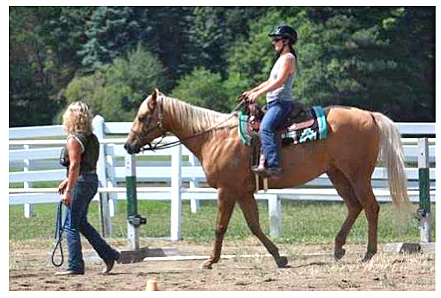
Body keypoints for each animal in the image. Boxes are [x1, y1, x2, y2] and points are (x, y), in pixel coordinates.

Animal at [124, 88, 410, 268]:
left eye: (143, 116)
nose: (128, 145)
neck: (214, 137)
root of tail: (369, 115)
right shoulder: (243, 192)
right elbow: (254, 225)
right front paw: (279, 257)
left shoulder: (226, 190)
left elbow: (220, 226)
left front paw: (210, 261)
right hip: (337, 174)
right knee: (354, 206)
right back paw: (339, 248)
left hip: (358, 174)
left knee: (370, 206)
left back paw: (369, 253)